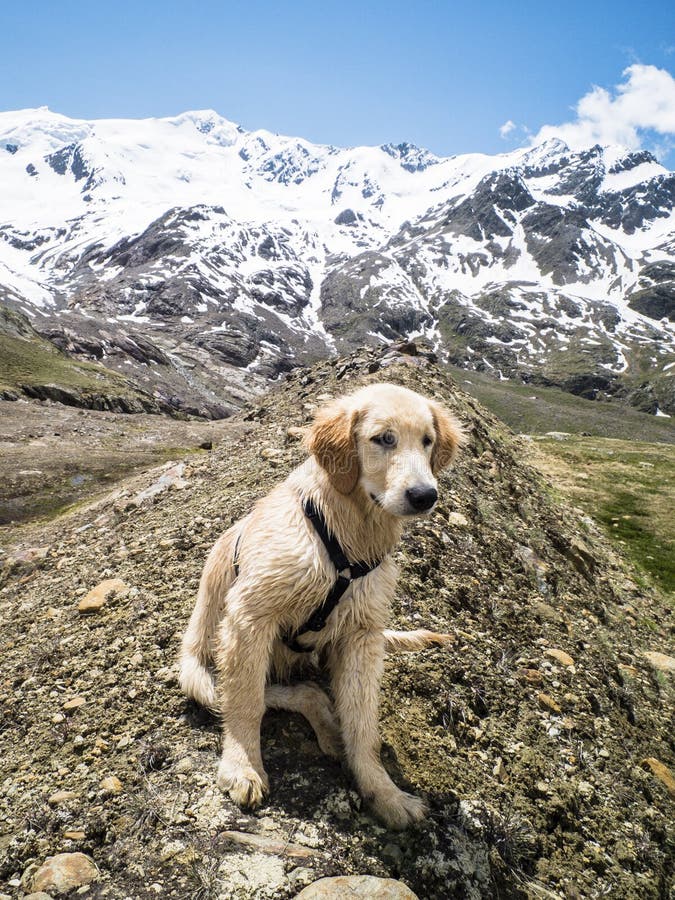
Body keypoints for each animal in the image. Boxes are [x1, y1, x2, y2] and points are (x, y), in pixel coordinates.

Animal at [180, 382, 464, 828]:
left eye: (428, 441)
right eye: (383, 438)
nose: (424, 495)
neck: (346, 537)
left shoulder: (363, 635)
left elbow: (364, 726)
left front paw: (384, 792)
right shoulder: (249, 616)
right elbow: (245, 703)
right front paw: (242, 766)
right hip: (195, 673)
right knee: (271, 693)